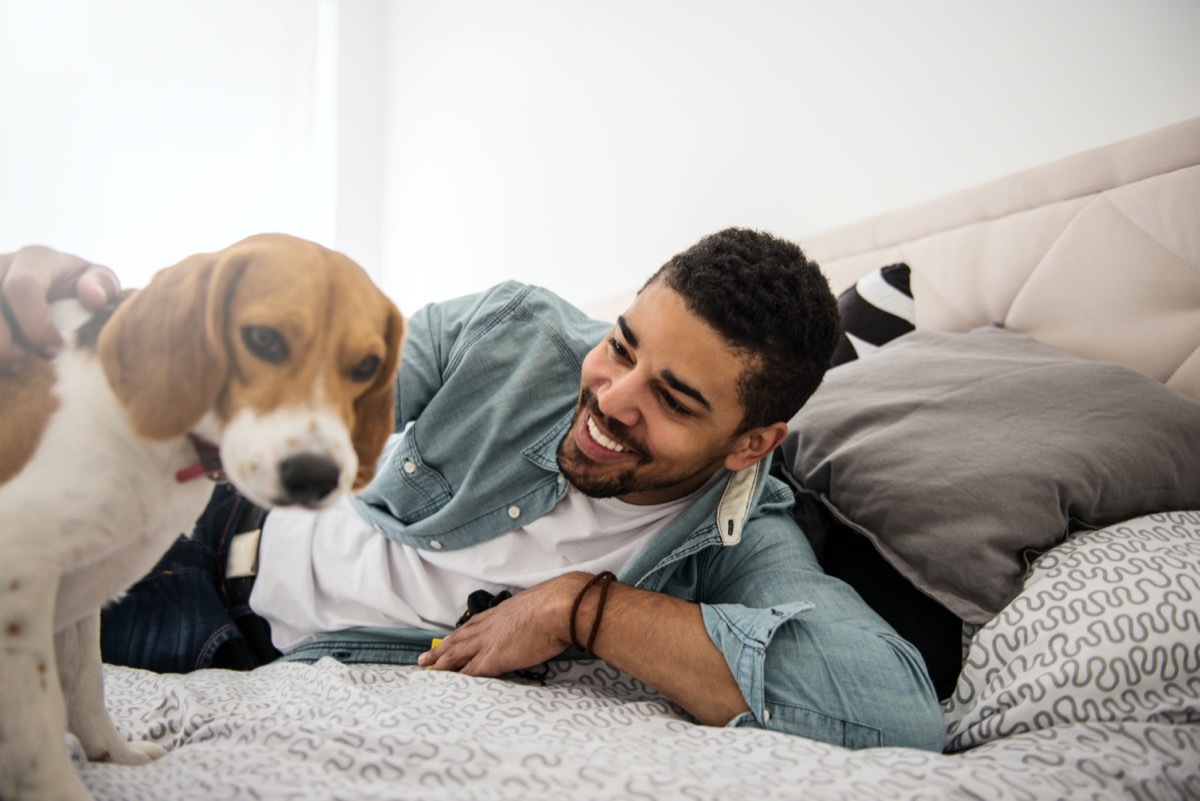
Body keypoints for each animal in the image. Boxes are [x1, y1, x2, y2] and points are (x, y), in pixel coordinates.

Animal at [0, 231, 403, 801]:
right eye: (263, 339)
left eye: (367, 366)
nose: (315, 476)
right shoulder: (19, 584)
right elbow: (37, 729)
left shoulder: (78, 588)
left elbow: (84, 683)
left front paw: (113, 754)